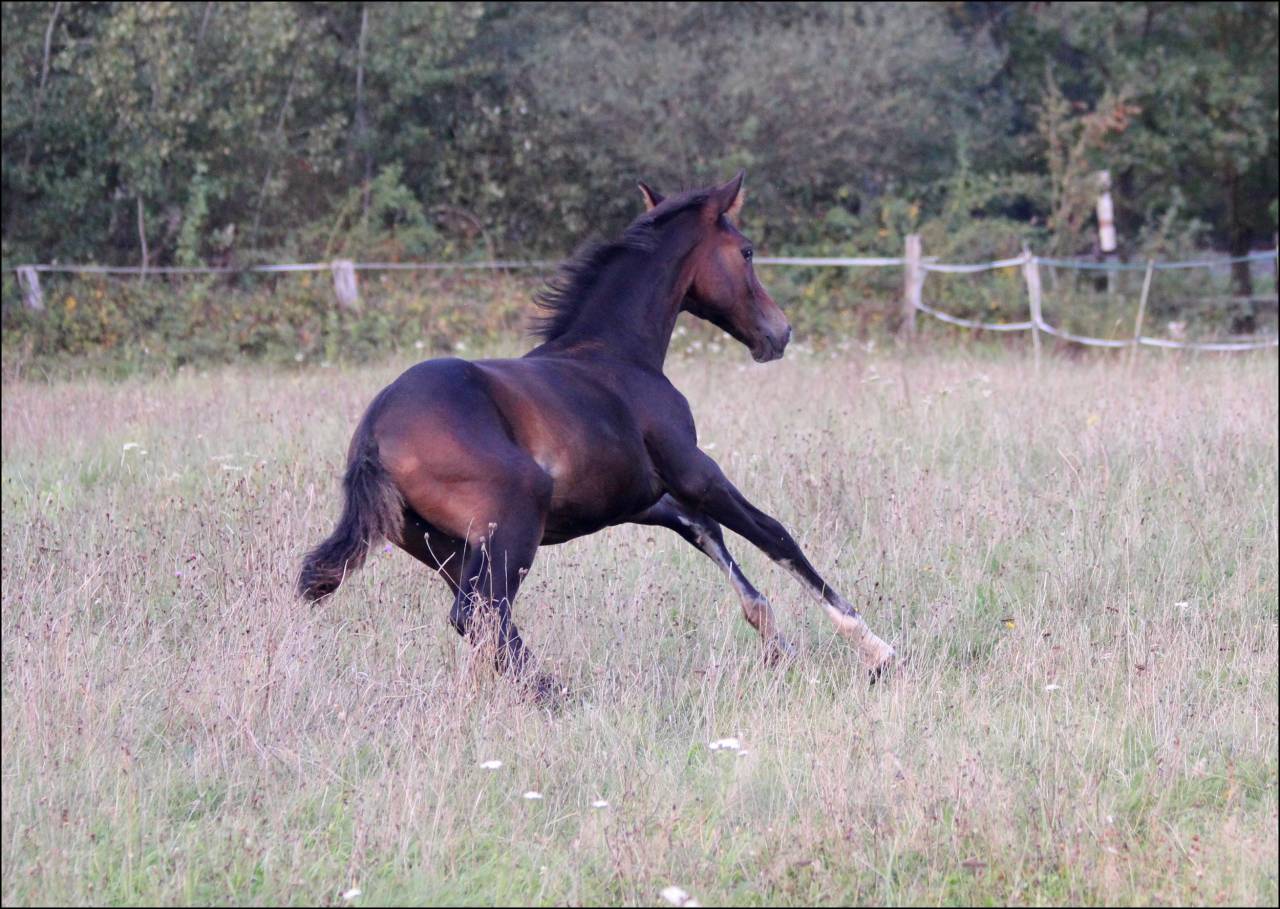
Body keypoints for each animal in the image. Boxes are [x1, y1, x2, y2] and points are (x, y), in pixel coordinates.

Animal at [297, 172, 894, 694]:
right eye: (746, 251)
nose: (779, 332)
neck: (618, 354)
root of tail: (375, 434)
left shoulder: (647, 500)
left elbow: (716, 543)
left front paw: (783, 651)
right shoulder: (695, 472)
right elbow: (775, 536)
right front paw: (876, 651)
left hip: (446, 548)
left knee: (485, 619)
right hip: (514, 524)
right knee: (482, 614)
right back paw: (557, 695)